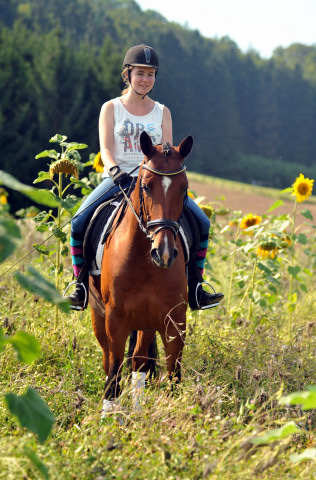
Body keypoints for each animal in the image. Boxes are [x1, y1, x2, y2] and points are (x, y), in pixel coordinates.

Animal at [87, 131, 194, 412]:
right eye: (146, 186)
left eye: (184, 188)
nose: (164, 253)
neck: (145, 263)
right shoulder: (115, 318)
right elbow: (114, 373)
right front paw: (108, 416)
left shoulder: (174, 319)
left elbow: (173, 374)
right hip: (99, 314)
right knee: (109, 360)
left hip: (146, 321)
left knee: (139, 360)